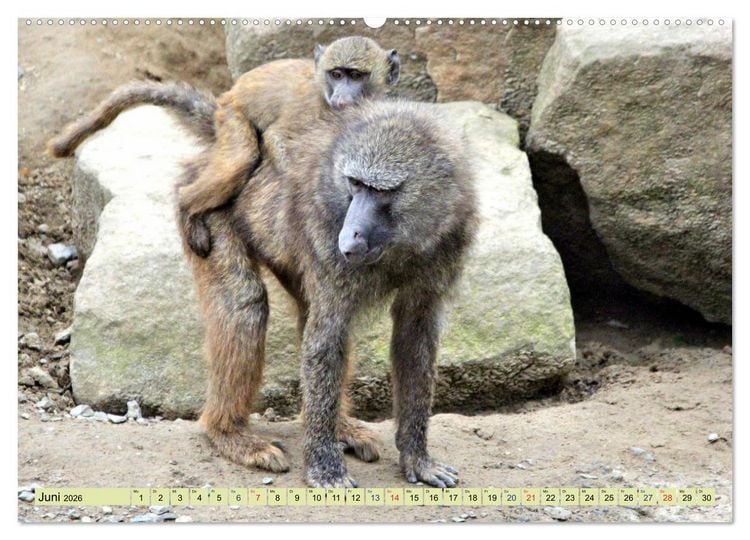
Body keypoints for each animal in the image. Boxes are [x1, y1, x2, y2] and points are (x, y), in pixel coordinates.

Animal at [48, 36, 401, 258]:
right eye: (336, 74)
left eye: (356, 75)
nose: (341, 97)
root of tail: (226, 97)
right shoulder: (309, 111)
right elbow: (277, 139)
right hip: (232, 117)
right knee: (242, 158)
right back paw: (188, 207)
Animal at [179, 97, 478, 488]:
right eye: (355, 184)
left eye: (381, 191)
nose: (349, 236)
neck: (403, 242)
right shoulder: (325, 231)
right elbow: (326, 338)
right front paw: (325, 468)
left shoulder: (452, 239)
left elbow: (415, 338)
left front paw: (417, 458)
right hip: (210, 219)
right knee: (245, 305)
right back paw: (230, 434)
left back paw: (342, 428)